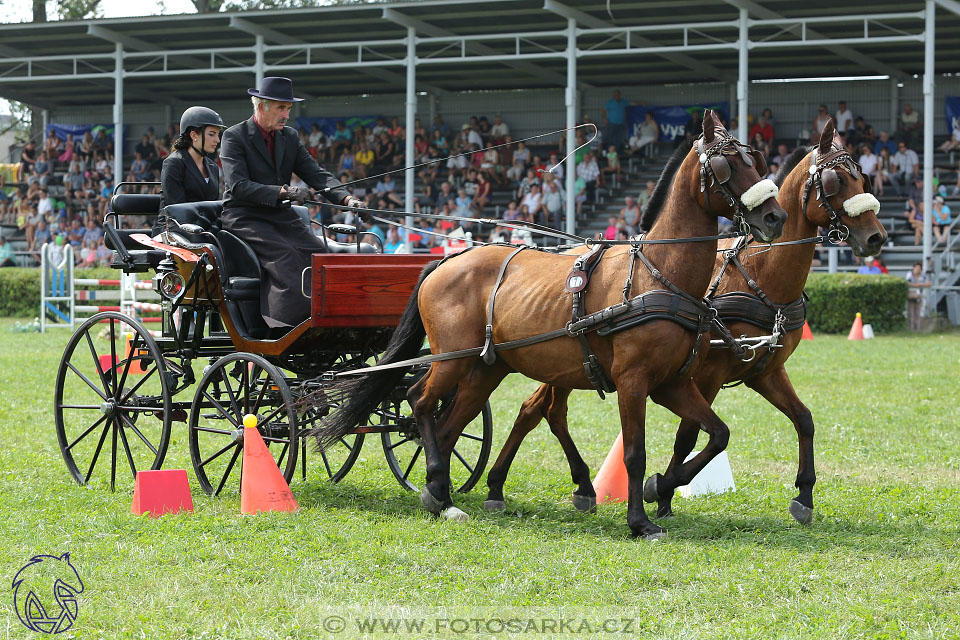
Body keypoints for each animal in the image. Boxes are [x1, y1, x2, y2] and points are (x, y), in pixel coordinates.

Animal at [318, 111, 784, 540]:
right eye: (727, 165)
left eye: (757, 159)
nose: (775, 217)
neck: (657, 274)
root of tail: (447, 259)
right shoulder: (633, 381)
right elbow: (634, 453)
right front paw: (639, 520)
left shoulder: (671, 383)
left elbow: (718, 433)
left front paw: (661, 487)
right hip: (451, 359)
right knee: (419, 401)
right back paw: (440, 484)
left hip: (486, 368)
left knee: (450, 424)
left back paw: (441, 495)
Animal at [484, 119, 888, 524]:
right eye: (837, 180)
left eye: (863, 178)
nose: (876, 237)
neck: (758, 275)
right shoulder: (707, 373)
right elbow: (689, 437)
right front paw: (661, 491)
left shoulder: (764, 371)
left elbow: (803, 419)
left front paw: (804, 494)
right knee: (540, 410)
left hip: (569, 363)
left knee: (542, 410)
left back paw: (562, 484)